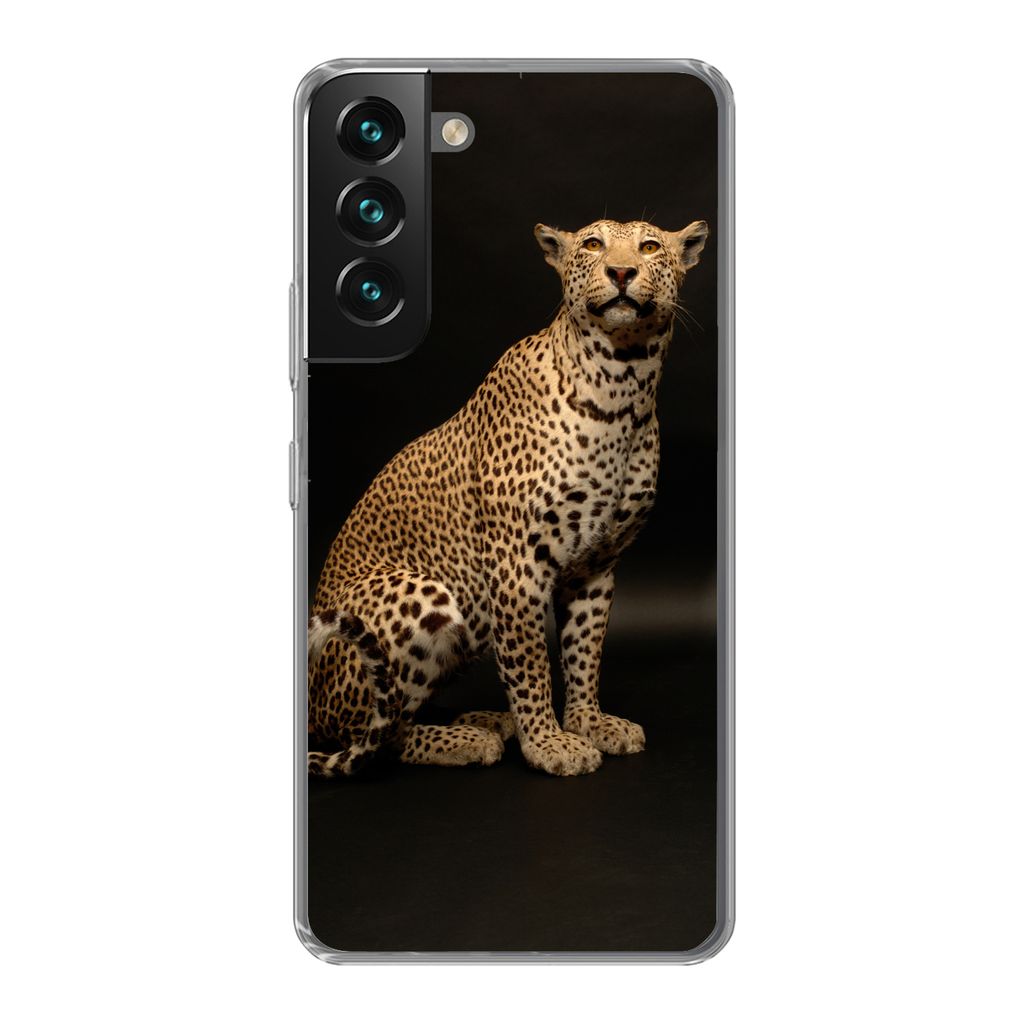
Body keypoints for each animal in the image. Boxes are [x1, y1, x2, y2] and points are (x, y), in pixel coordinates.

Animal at [307, 216, 709, 777]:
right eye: (593, 244)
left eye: (649, 247)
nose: (622, 271)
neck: (624, 384)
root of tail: (309, 702)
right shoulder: (517, 564)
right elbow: (530, 663)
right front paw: (548, 743)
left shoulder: (597, 566)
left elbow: (584, 653)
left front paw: (588, 722)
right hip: (420, 595)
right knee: (376, 734)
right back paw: (467, 738)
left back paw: (483, 720)